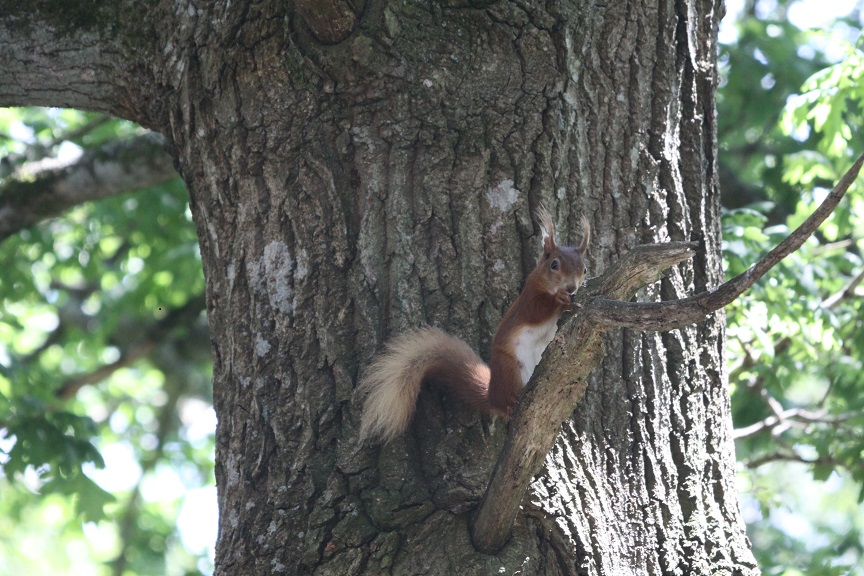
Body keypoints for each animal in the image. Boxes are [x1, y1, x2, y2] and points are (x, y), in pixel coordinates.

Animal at [356, 209, 588, 444]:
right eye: (554, 265)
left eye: (584, 269)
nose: (571, 287)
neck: (545, 284)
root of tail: (492, 393)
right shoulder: (527, 299)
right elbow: (537, 310)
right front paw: (559, 299)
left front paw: (570, 305)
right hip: (509, 368)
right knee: (505, 402)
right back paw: (510, 405)